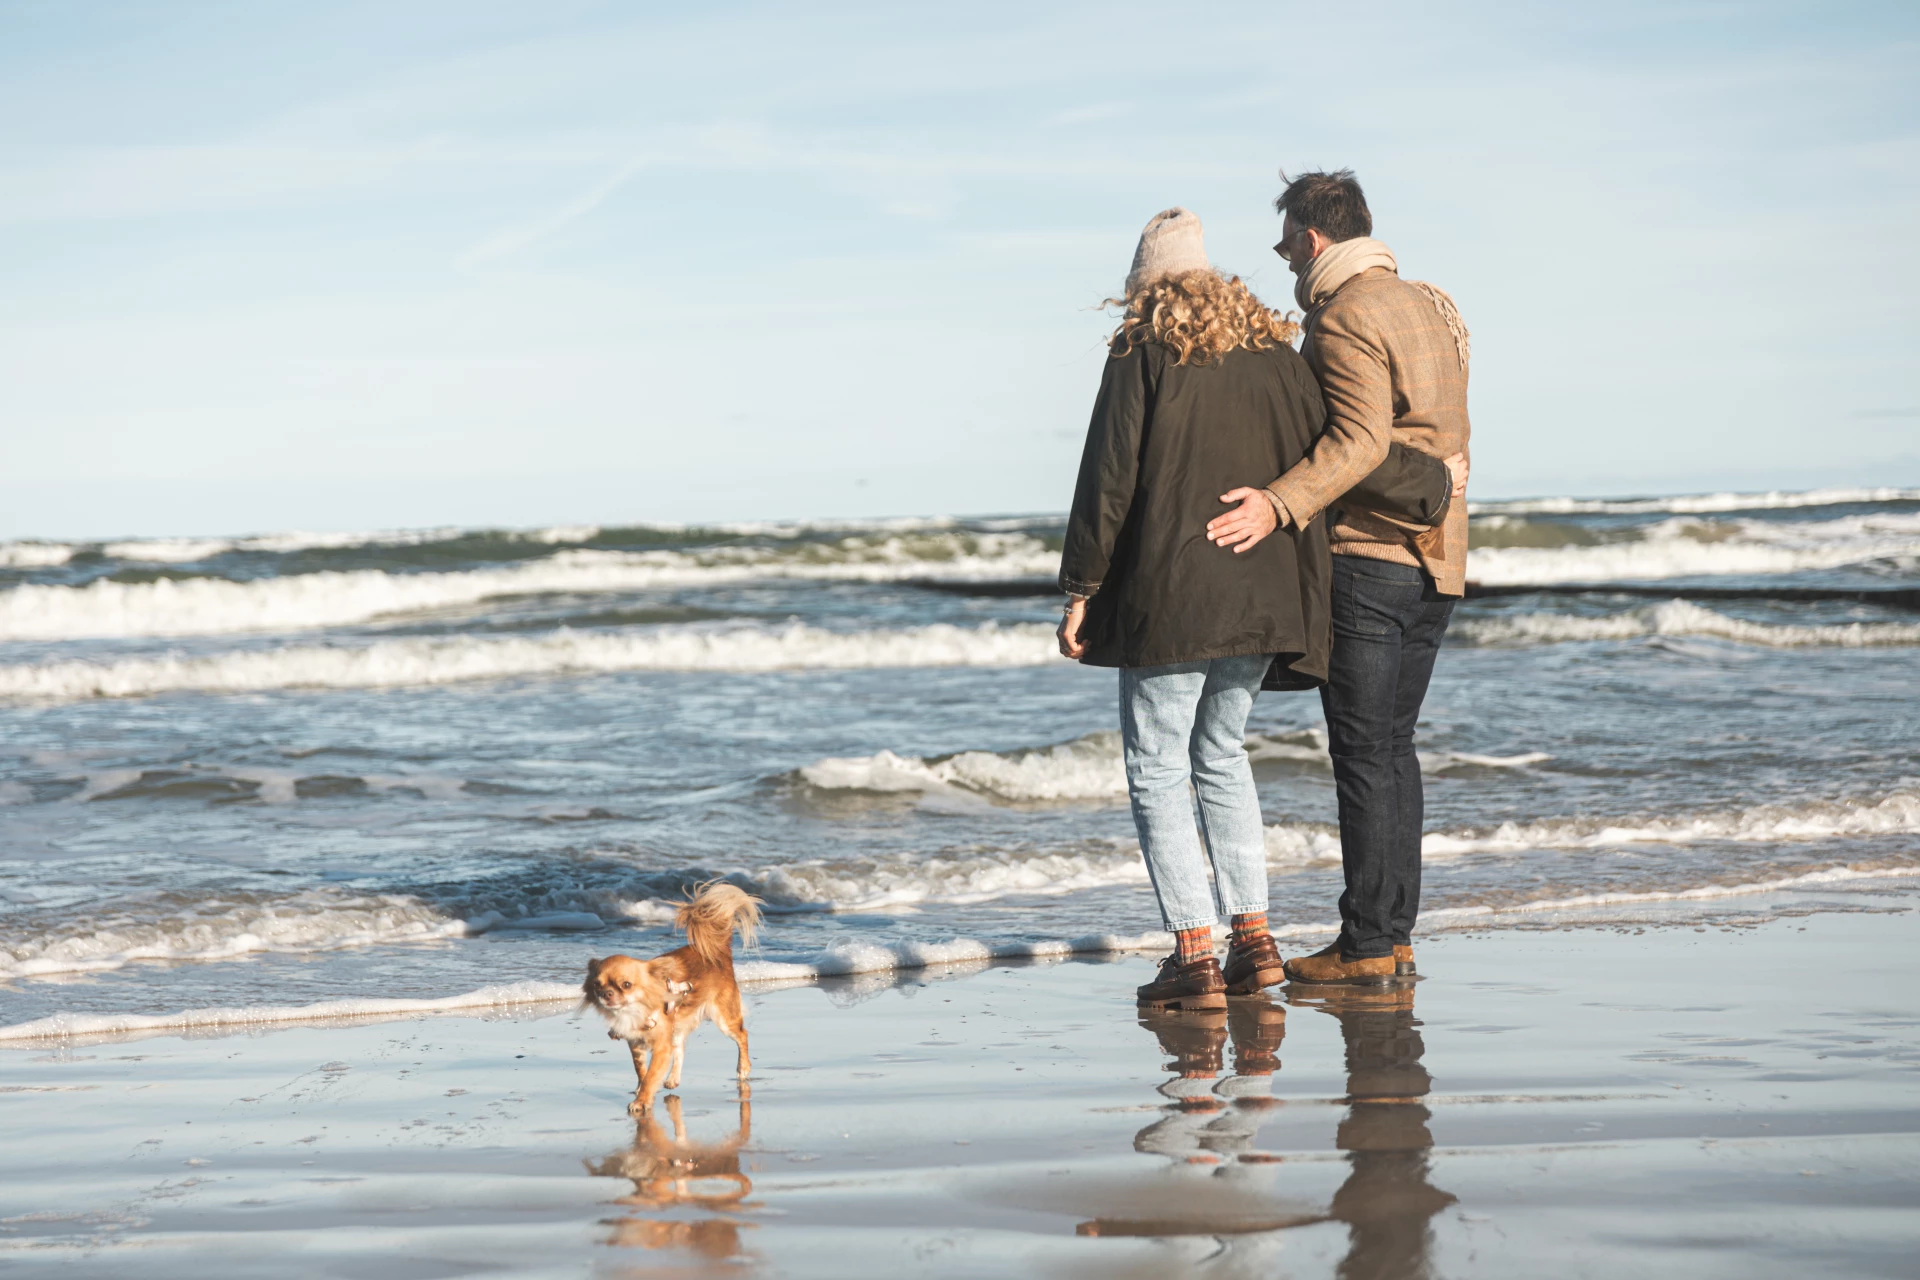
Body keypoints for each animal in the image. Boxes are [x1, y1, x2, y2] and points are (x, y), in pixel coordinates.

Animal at [583, 890, 764, 1113]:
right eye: (596, 985)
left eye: (626, 985)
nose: (606, 994)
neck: (635, 1011)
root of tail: (718, 952)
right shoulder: (636, 1045)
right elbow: (642, 1071)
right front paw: (643, 1090)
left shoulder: (661, 1047)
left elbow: (651, 1075)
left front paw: (641, 1100)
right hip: (678, 1025)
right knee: (680, 1048)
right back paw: (673, 1079)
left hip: (723, 1017)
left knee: (742, 1035)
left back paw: (743, 1068)